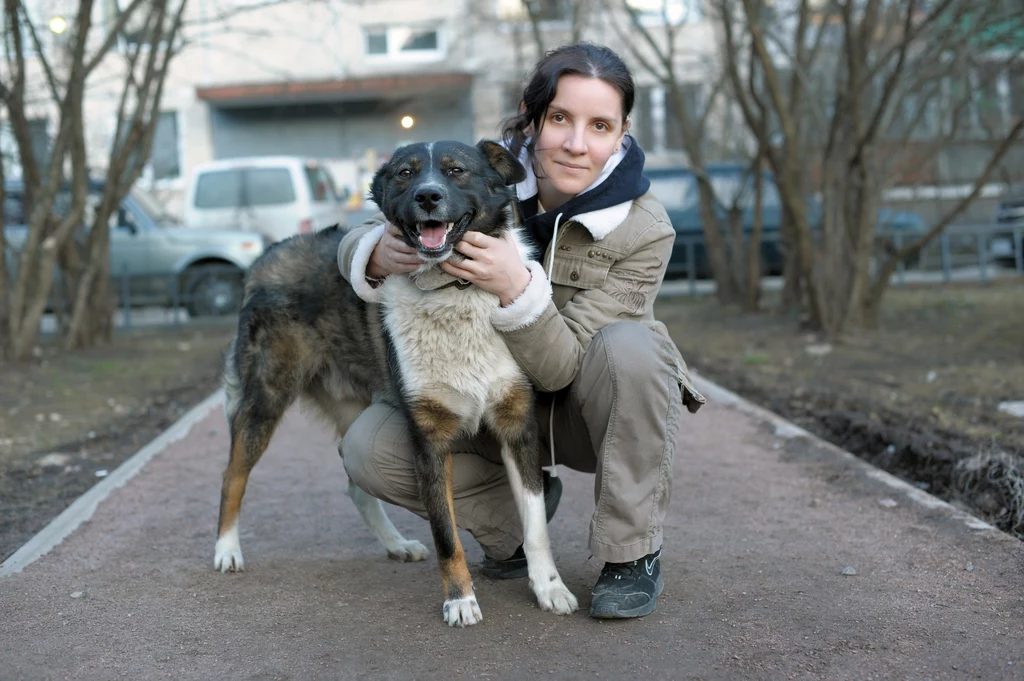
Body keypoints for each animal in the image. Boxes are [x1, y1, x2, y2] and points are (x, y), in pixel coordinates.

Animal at [211, 138, 581, 626]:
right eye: (406, 174)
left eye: (456, 170)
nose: (428, 196)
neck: (453, 290)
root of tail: (266, 255)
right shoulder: (428, 437)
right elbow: (446, 533)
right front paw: (460, 600)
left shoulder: (516, 423)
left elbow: (536, 523)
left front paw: (549, 587)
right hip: (264, 398)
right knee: (233, 475)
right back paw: (226, 549)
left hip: (351, 408)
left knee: (354, 481)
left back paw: (395, 544)